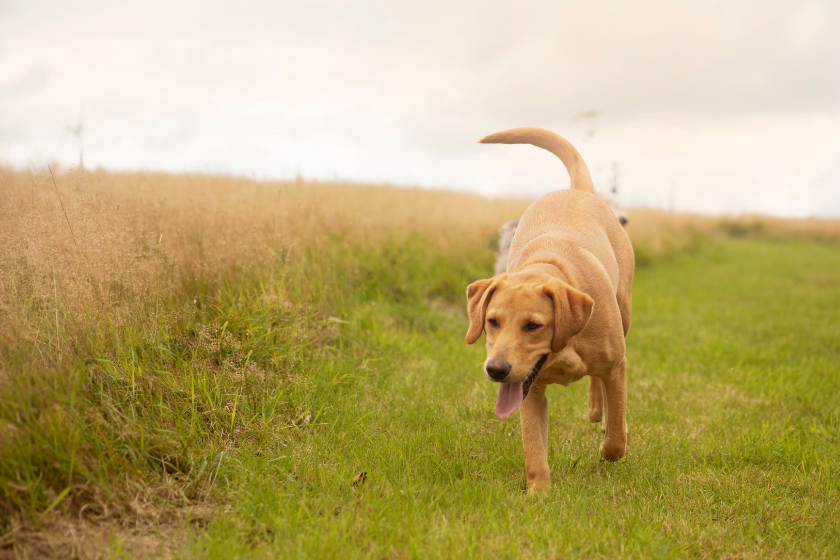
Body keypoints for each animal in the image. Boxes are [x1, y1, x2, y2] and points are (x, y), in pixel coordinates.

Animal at [462, 128, 632, 494]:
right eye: (492, 322)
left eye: (533, 325)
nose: (496, 369)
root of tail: (576, 191)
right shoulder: (528, 389)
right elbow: (533, 445)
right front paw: (539, 493)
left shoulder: (616, 366)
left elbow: (616, 436)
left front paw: (611, 444)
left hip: (623, 312)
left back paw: (602, 413)